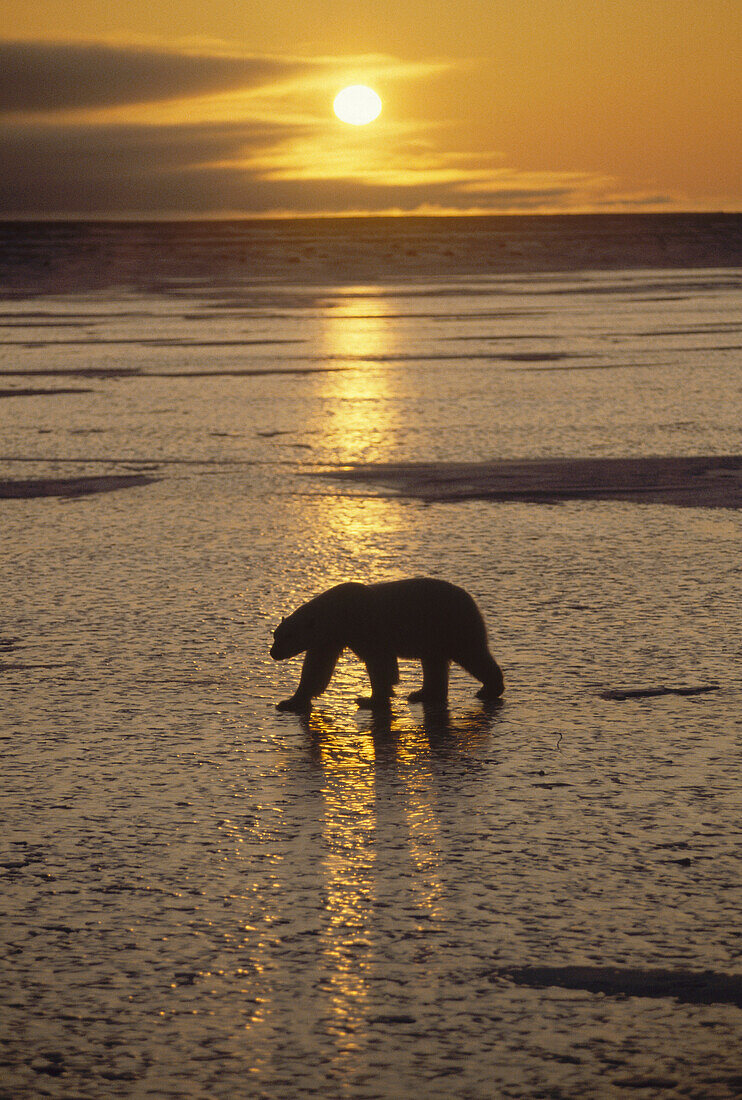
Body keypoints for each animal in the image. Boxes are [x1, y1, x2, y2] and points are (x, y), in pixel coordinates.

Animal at [268, 576, 505, 712]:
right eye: (275, 635)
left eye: (287, 636)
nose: (273, 653)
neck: (339, 613)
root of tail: (470, 599)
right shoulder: (330, 639)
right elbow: (316, 669)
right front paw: (290, 702)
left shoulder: (365, 627)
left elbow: (379, 662)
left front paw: (369, 699)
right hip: (434, 635)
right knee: (434, 662)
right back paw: (422, 694)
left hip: (451, 623)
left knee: (472, 653)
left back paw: (489, 689)